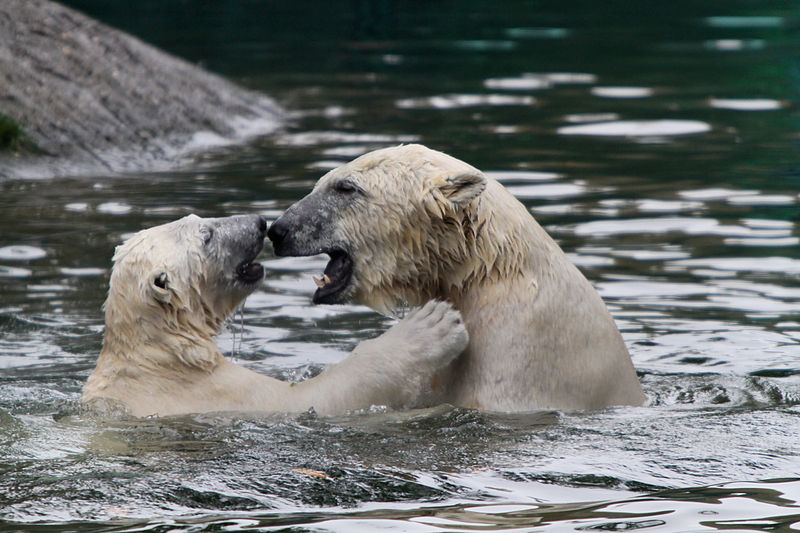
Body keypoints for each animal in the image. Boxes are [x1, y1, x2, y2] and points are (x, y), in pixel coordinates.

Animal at [79, 212, 468, 416]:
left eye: (200, 219)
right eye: (206, 234)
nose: (259, 222)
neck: (159, 355)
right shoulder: (214, 393)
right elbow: (313, 399)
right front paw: (433, 325)